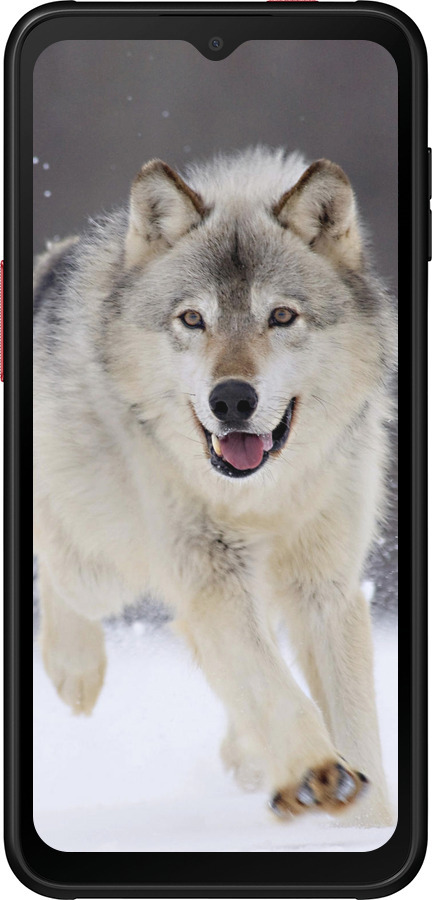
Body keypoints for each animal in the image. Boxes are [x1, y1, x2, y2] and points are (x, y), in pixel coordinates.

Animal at [34, 147, 396, 826]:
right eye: (192, 320)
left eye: (281, 316)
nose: (231, 399)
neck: (262, 498)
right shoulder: (211, 573)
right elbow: (273, 686)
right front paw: (315, 773)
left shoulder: (325, 586)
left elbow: (355, 724)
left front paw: (367, 821)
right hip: (105, 569)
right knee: (61, 575)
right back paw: (76, 669)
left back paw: (248, 756)